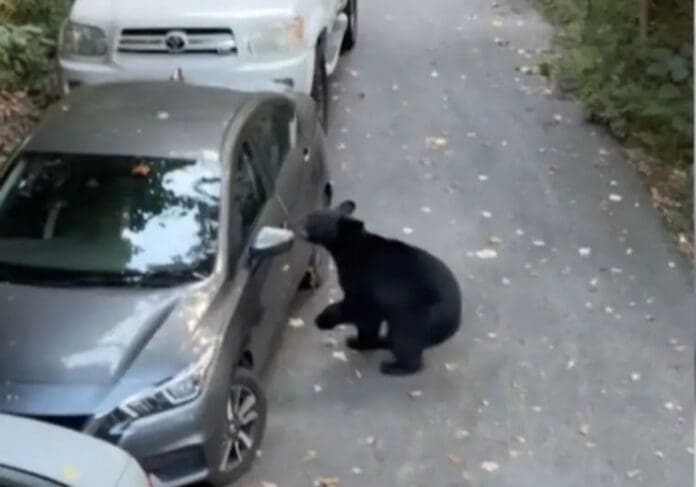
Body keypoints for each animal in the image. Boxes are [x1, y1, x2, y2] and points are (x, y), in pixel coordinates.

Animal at [300, 200, 462, 376]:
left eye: (315, 218)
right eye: (313, 213)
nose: (301, 220)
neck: (350, 249)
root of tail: (455, 321)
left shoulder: (364, 280)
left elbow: (359, 308)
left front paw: (324, 320)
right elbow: (371, 318)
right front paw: (360, 341)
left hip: (416, 314)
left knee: (404, 338)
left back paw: (395, 366)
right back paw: (384, 341)